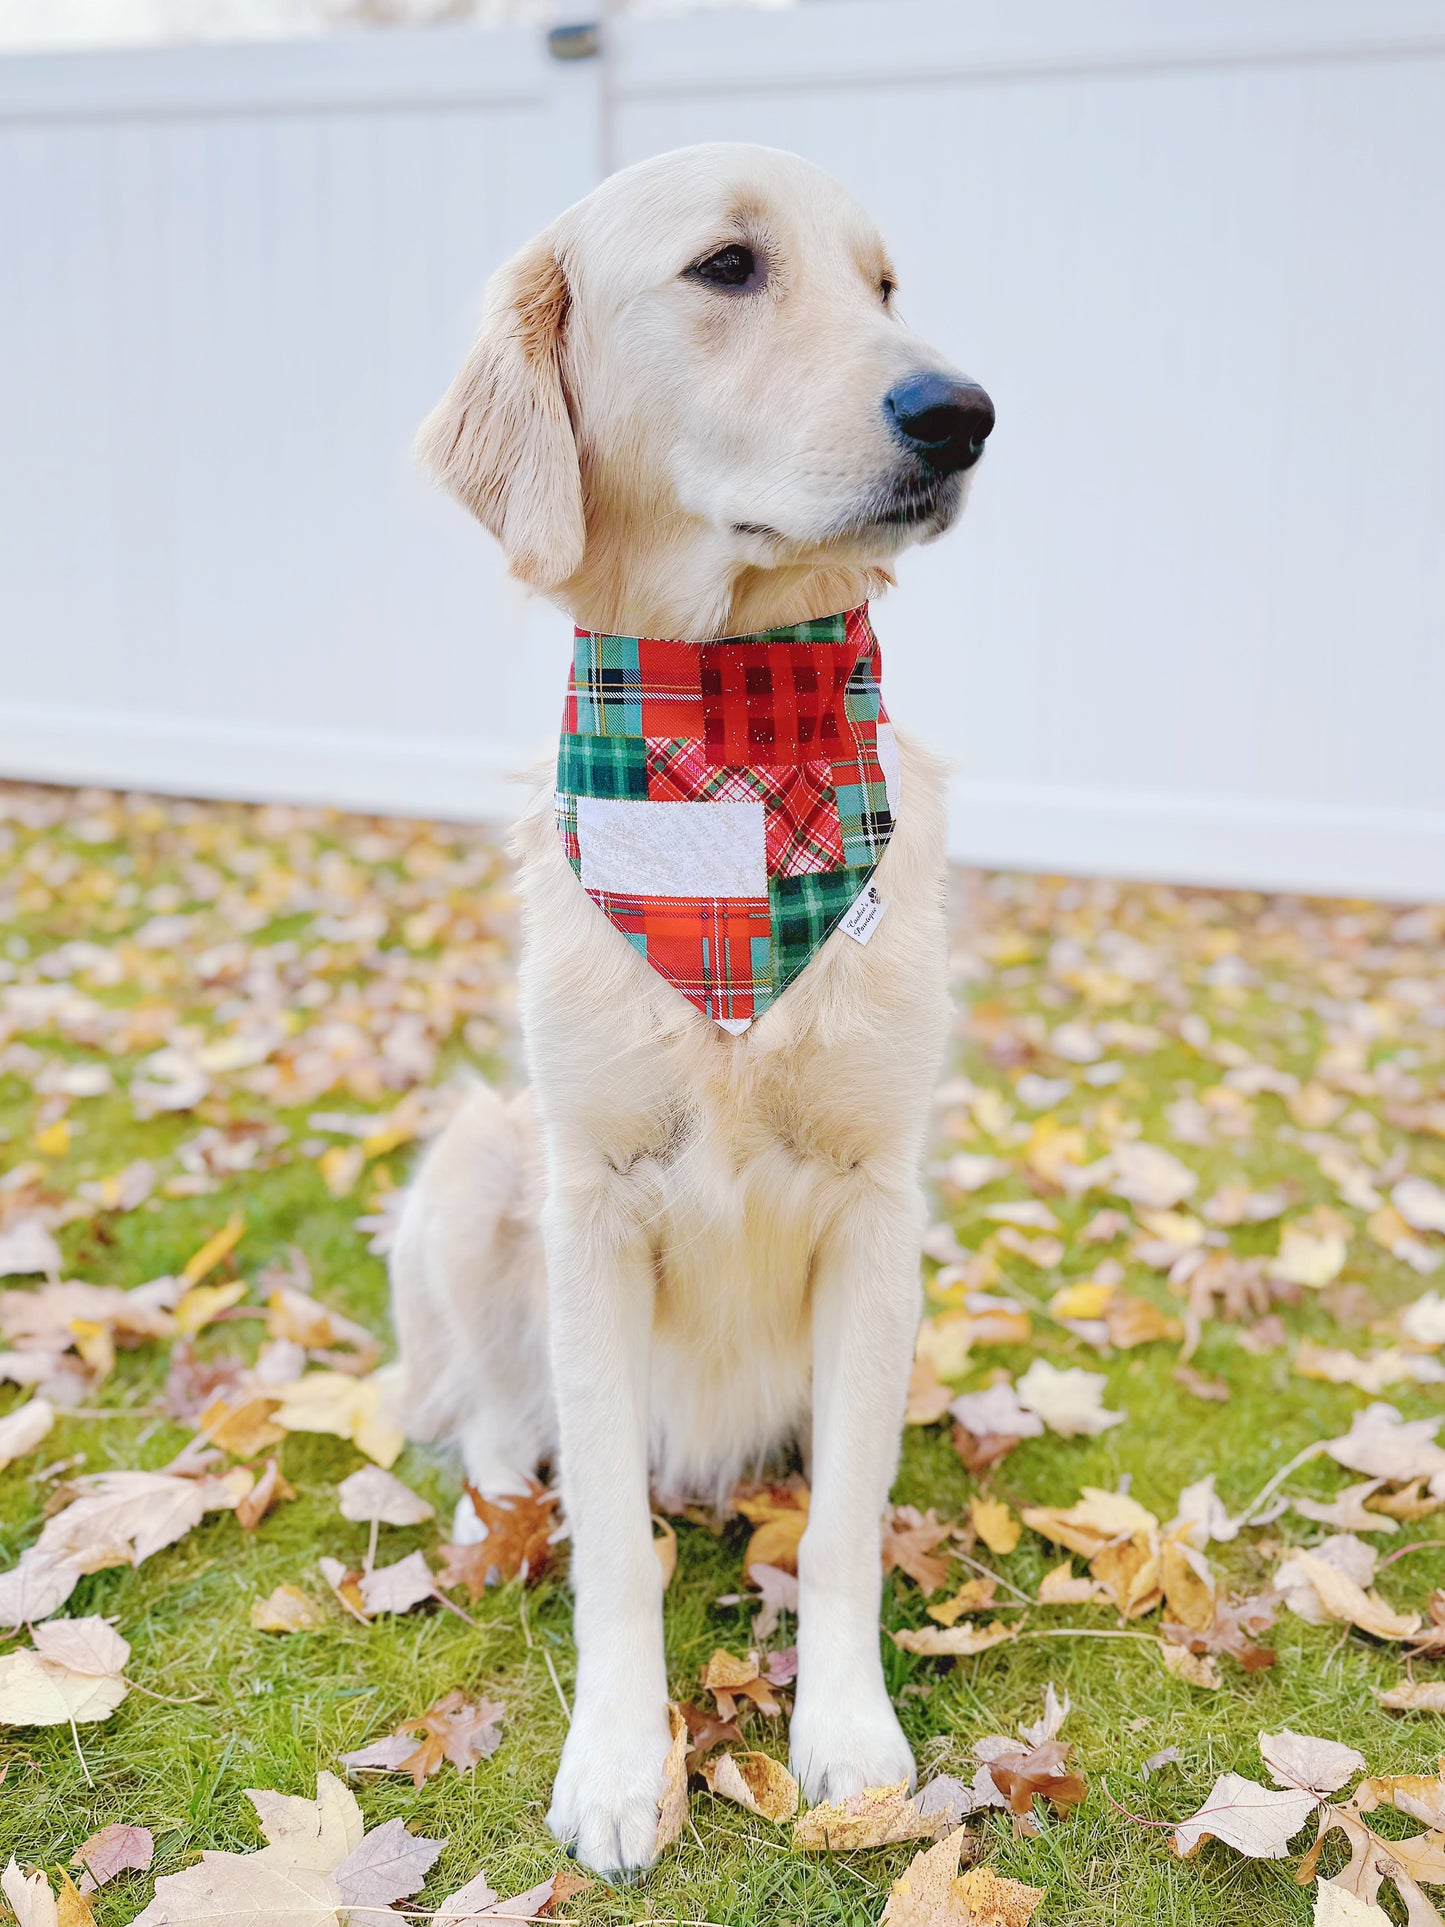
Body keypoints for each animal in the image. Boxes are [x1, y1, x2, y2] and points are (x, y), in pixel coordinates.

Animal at [391, 142, 994, 1873]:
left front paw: (846, 1736)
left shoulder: (878, 1205)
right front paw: (614, 1757)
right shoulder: (589, 1197)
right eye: (729, 266)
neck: (729, 740)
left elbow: (846, 1524)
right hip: (475, 1159)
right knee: (496, 1419)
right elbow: (611, 1539)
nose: (962, 412)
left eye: (883, 284)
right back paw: (501, 1500)